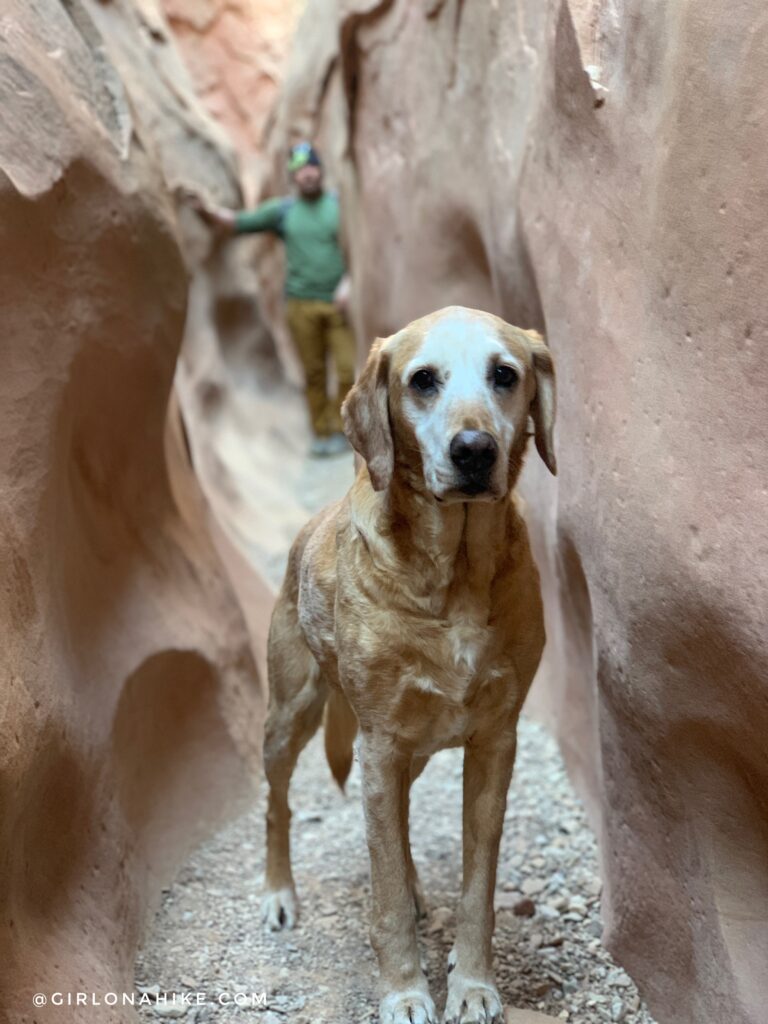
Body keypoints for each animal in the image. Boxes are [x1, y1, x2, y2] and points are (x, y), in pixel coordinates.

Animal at [262, 305, 557, 1024]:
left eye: (505, 375)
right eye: (423, 380)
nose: (474, 450)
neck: (454, 576)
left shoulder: (493, 745)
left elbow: (476, 887)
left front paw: (473, 982)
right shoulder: (381, 746)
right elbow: (387, 888)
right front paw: (403, 990)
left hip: (413, 749)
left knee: (394, 825)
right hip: (291, 717)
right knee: (279, 806)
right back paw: (279, 891)